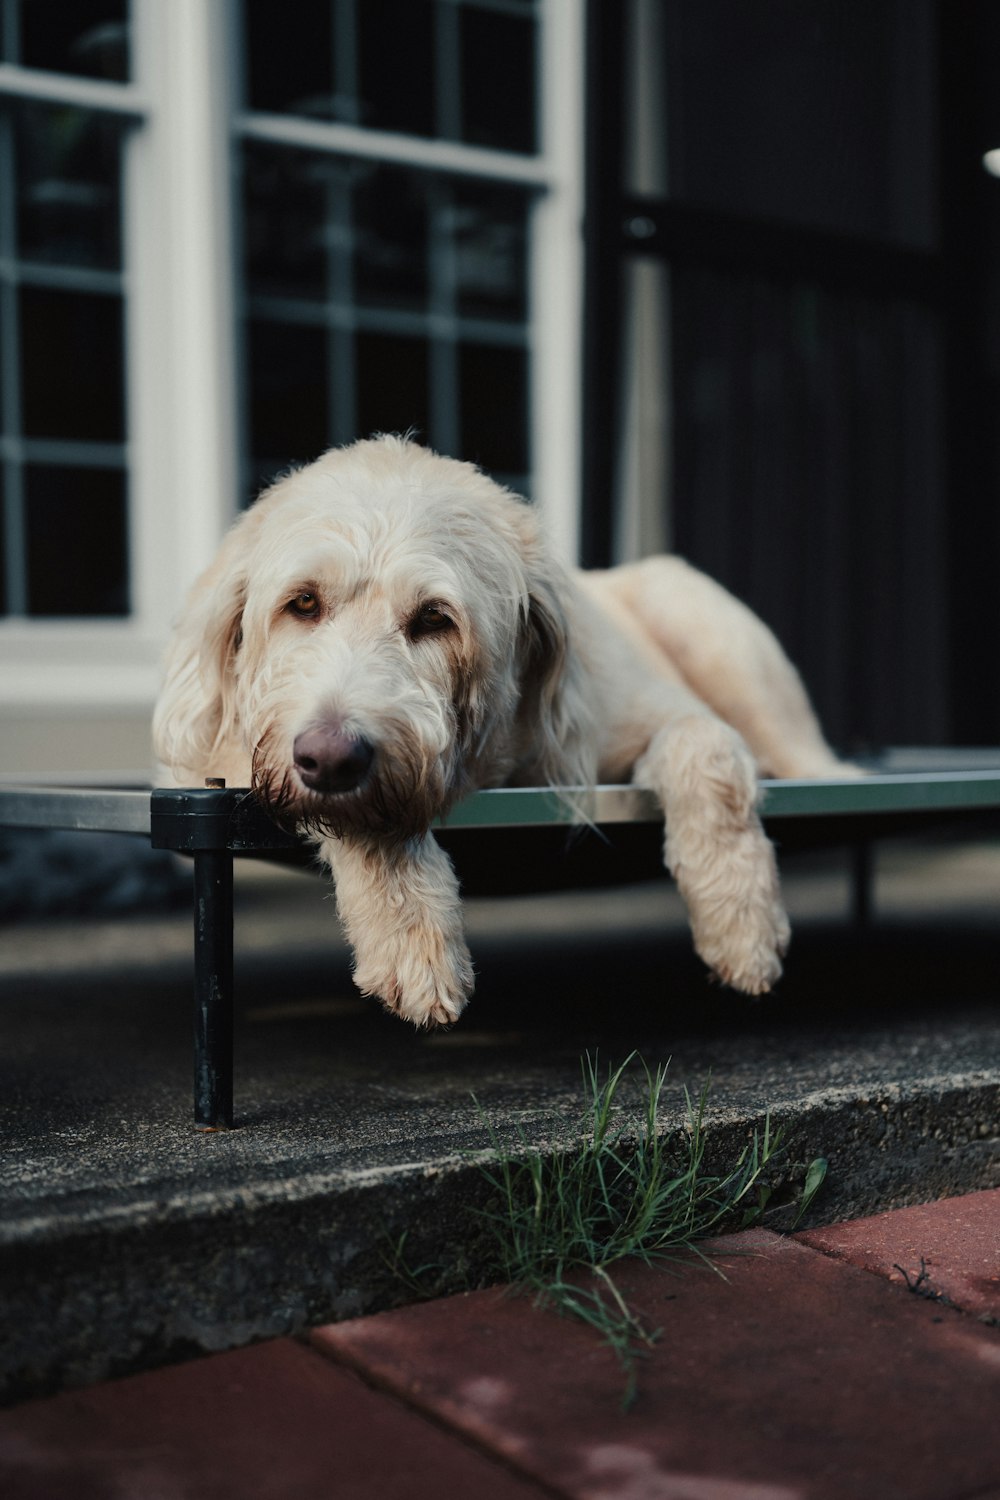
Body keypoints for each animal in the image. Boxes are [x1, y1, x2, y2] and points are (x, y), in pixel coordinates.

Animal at [152, 435, 851, 1020]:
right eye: (303, 603)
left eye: (435, 619)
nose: (330, 759)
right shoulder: (219, 760)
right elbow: (371, 823)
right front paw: (412, 933)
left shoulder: (661, 715)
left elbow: (706, 750)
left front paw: (741, 924)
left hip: (700, 621)